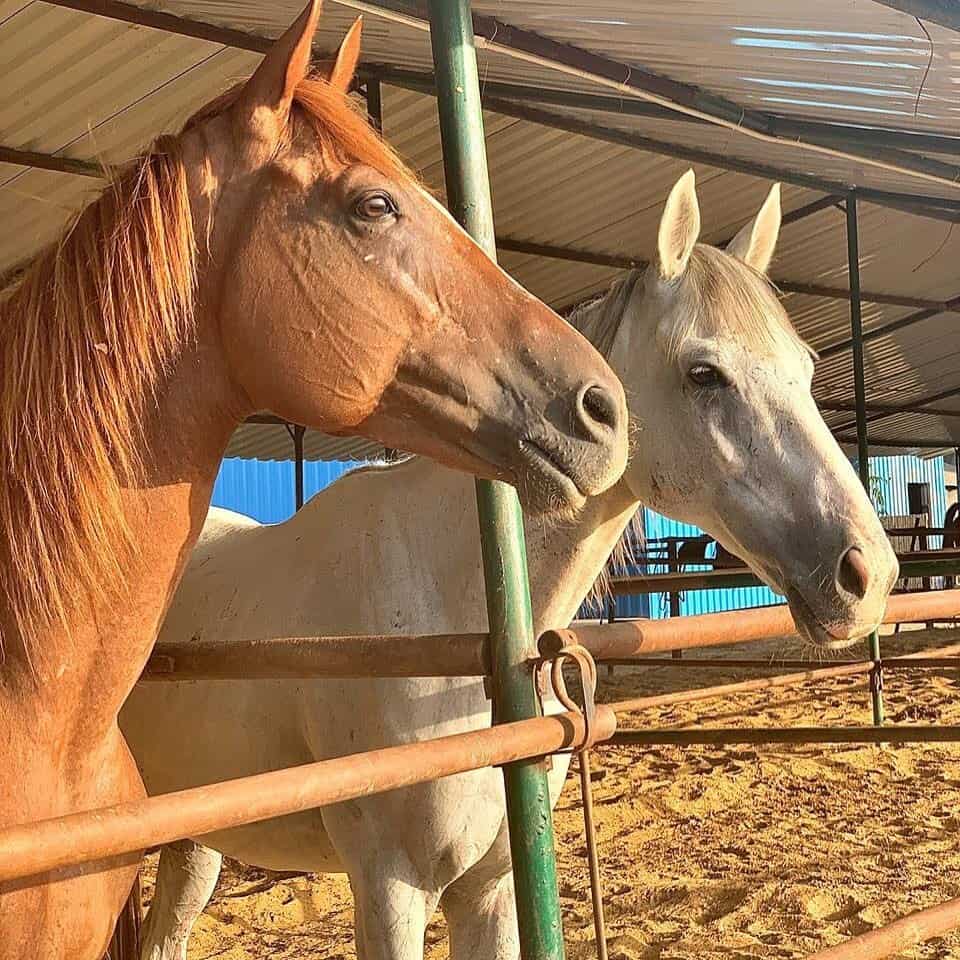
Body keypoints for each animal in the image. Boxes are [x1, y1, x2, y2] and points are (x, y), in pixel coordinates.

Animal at [122, 173, 898, 960]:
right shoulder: (390, 890)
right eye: (704, 373)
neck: (453, 613)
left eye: (807, 369)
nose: (867, 576)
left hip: (194, 842)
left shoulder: (490, 889)